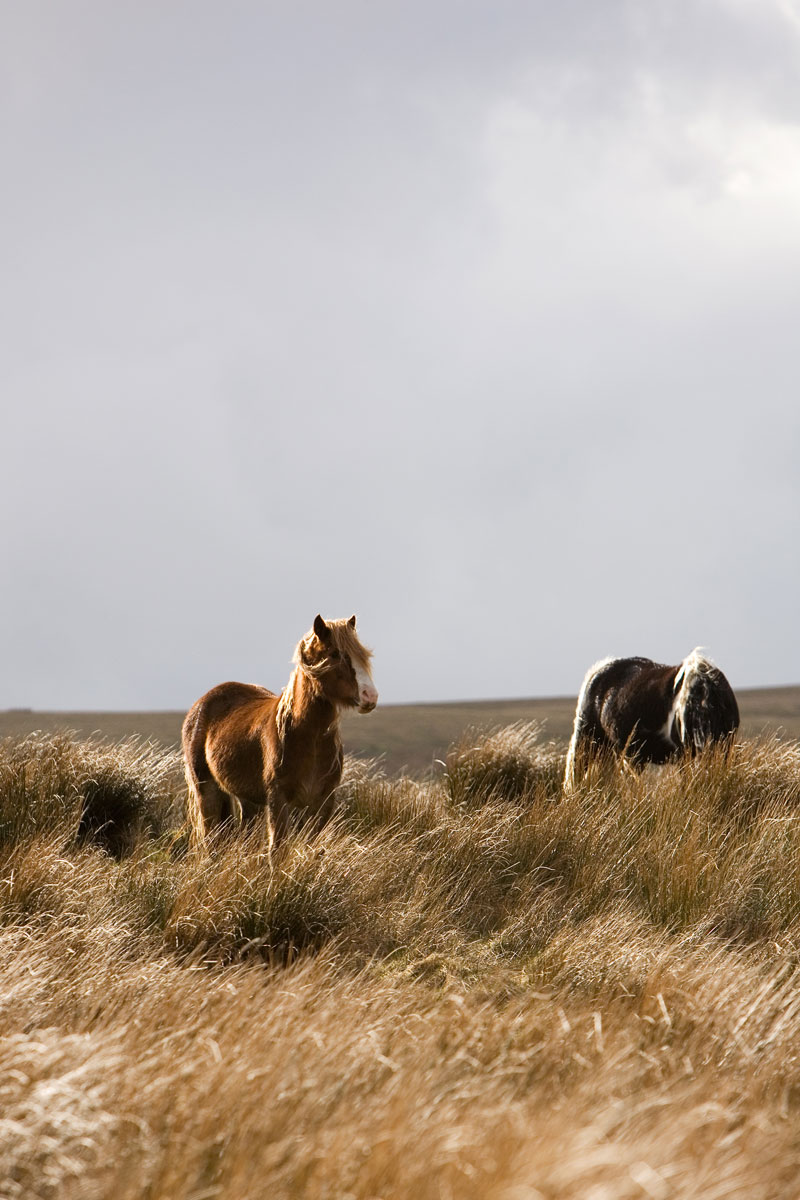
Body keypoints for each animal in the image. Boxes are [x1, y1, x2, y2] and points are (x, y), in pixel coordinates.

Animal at [183, 619, 376, 854]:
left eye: (363, 654)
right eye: (334, 654)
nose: (370, 696)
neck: (308, 739)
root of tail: (201, 704)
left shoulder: (322, 802)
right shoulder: (278, 799)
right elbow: (277, 850)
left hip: (248, 799)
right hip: (207, 790)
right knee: (211, 840)